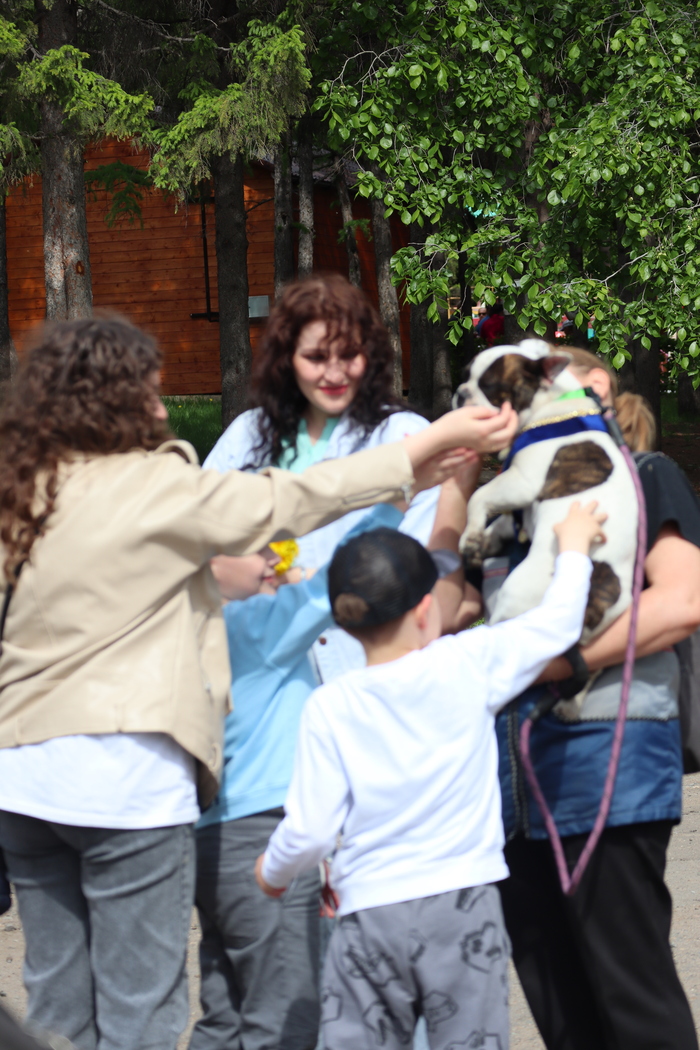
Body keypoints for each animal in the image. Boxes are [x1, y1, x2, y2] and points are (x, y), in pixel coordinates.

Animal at [453, 340, 638, 647]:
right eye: (466, 375)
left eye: (488, 386)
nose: (460, 393)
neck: (551, 401)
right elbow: (503, 520)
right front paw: (485, 540)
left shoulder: (522, 481)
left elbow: (478, 497)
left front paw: (471, 537)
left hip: (520, 590)